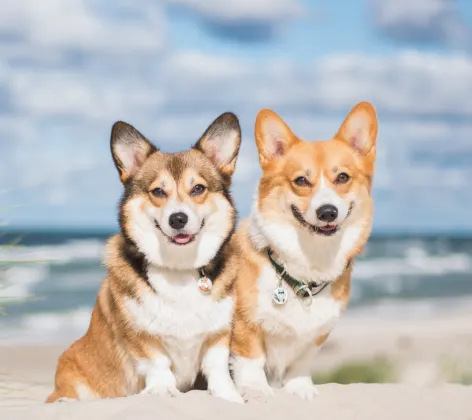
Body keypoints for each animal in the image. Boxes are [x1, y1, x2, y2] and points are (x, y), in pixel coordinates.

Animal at [47, 111, 243, 404]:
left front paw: (228, 396)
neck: (179, 268)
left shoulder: (218, 333)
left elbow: (216, 366)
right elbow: (157, 363)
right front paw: (162, 390)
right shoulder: (141, 336)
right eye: (158, 191)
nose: (177, 219)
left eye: (198, 188)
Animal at [230, 101, 378, 400]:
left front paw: (299, 388)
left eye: (342, 177)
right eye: (300, 181)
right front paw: (256, 390)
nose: (327, 212)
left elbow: (301, 361)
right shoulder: (244, 324)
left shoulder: (318, 334)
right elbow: (251, 360)